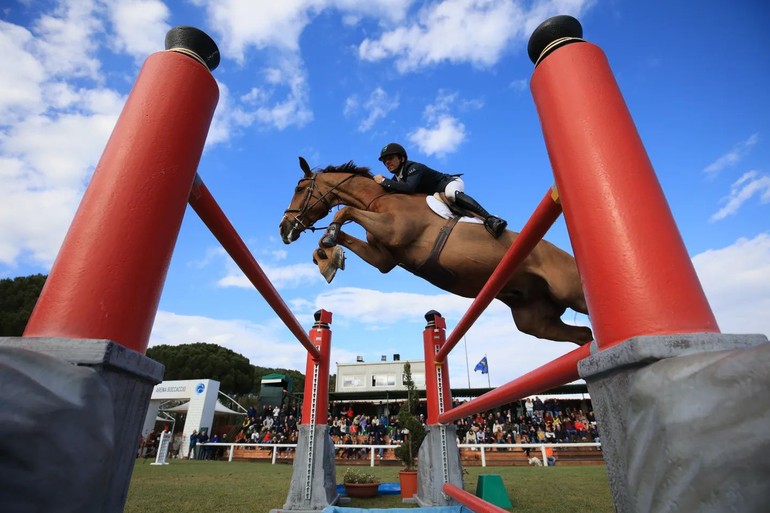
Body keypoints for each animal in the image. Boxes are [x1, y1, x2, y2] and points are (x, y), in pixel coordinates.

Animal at [280, 156, 592, 344]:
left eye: (299, 188)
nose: (284, 229)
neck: (378, 200)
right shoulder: (383, 258)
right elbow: (342, 232)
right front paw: (327, 259)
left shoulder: (394, 229)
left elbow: (344, 211)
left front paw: (329, 245)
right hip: (535, 320)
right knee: (584, 334)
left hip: (572, 292)